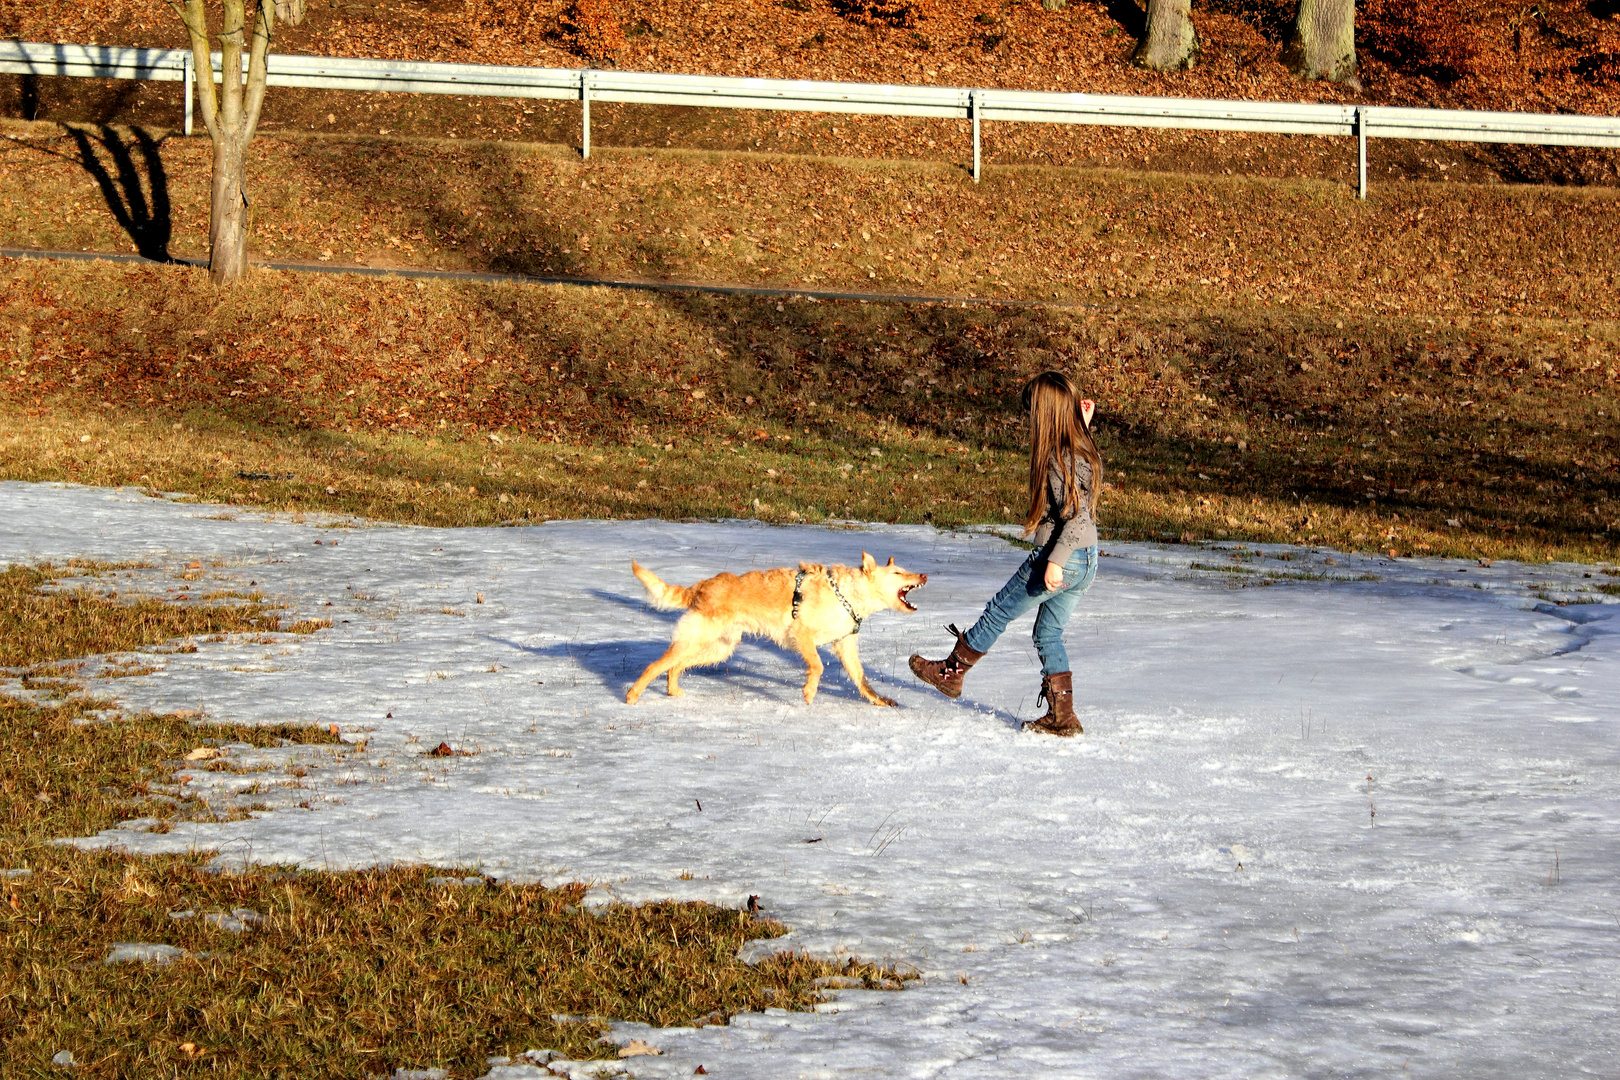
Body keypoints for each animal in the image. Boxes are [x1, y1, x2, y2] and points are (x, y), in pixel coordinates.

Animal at [622, 553, 926, 705]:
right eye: (898, 573)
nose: (923, 575)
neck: (848, 593)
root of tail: (701, 586)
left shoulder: (845, 646)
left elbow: (862, 680)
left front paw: (880, 701)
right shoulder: (802, 635)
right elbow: (818, 666)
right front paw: (809, 692)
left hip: (719, 648)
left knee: (673, 668)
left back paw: (673, 691)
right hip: (695, 641)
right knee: (654, 666)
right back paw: (632, 696)